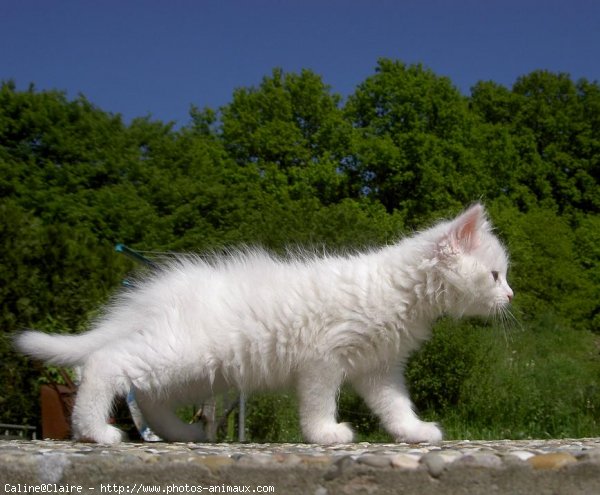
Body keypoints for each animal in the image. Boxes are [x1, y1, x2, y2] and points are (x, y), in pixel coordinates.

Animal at [15, 203, 510, 444]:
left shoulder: (378, 368)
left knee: (151, 396)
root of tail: (154, 292)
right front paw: (325, 435)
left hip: (198, 371)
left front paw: (414, 431)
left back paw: (180, 434)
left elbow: (395, 406)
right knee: (105, 363)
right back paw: (94, 431)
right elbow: (318, 402)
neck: (396, 291)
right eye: (495, 275)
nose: (510, 296)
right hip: (184, 351)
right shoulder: (323, 358)